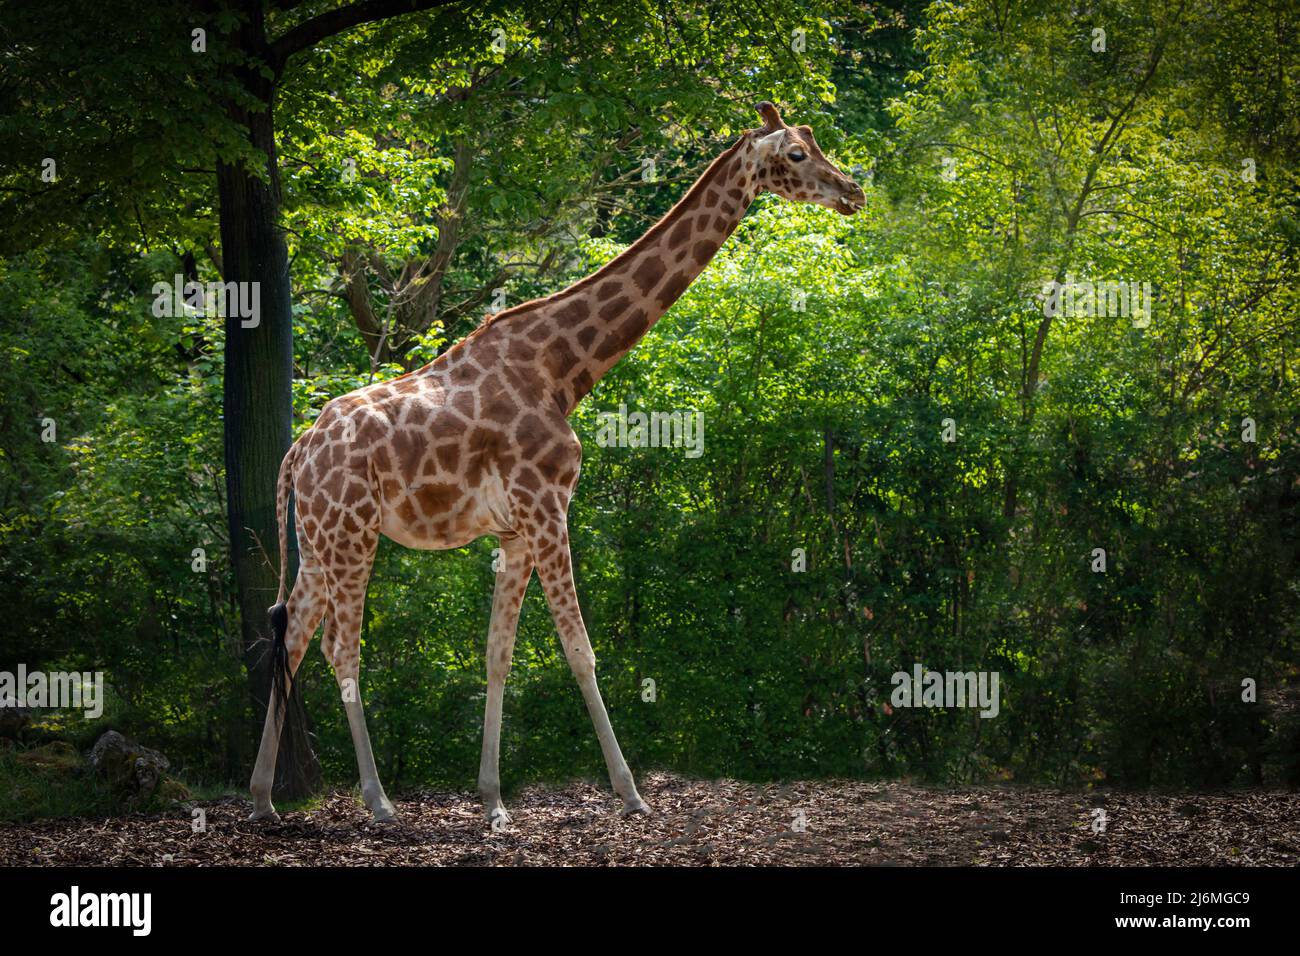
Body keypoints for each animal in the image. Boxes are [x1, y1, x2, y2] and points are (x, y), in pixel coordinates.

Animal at [249, 100, 868, 827]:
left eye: (815, 142)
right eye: (796, 154)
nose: (853, 191)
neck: (565, 369)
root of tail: (297, 452)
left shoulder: (515, 530)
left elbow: (499, 655)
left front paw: (493, 801)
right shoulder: (547, 507)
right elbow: (580, 651)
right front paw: (630, 793)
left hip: (318, 539)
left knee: (292, 634)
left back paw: (262, 800)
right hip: (352, 532)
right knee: (338, 646)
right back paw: (378, 801)